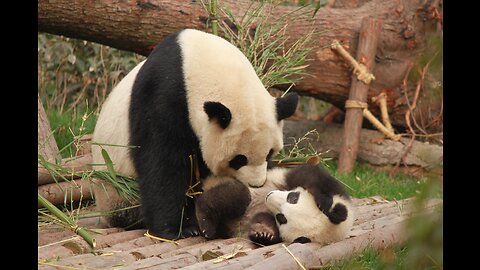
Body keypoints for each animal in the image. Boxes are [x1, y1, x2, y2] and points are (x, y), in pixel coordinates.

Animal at [91, 28, 298, 239]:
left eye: (269, 153)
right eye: (239, 159)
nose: (256, 184)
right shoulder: (162, 95)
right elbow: (162, 163)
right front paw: (174, 229)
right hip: (118, 191)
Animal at [196, 163, 356, 246]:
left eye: (281, 218)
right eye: (293, 198)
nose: (269, 196)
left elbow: (263, 219)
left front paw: (264, 233)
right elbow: (309, 174)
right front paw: (323, 201)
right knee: (236, 196)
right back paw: (205, 223)